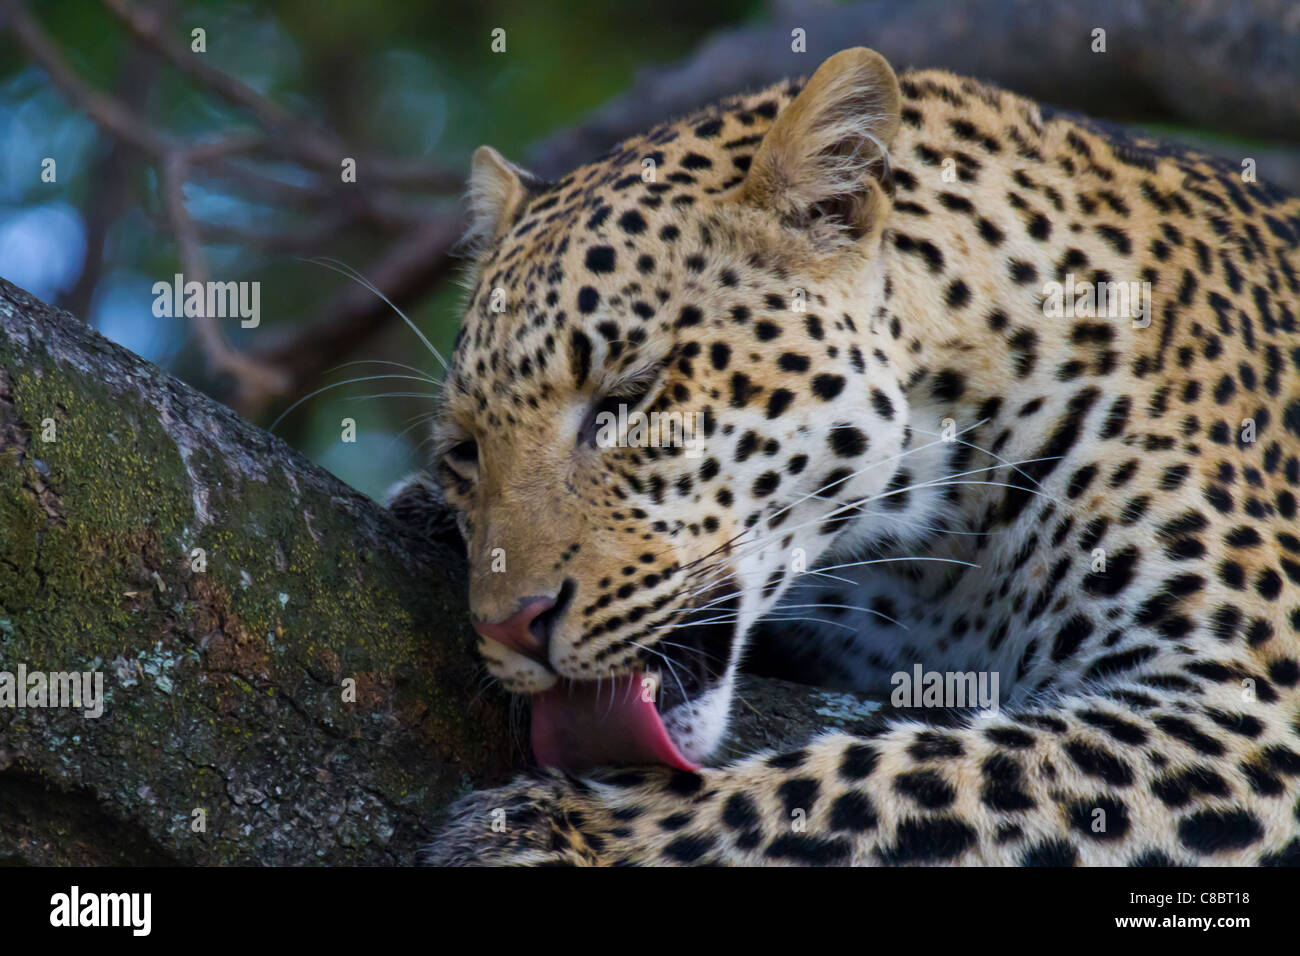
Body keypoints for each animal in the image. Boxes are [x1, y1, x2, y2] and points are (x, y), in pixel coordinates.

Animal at [392, 48, 1300, 866]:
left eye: (628, 398)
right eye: (464, 453)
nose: (509, 628)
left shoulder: (1251, 706)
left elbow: (885, 776)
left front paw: (566, 830)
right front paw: (423, 507)